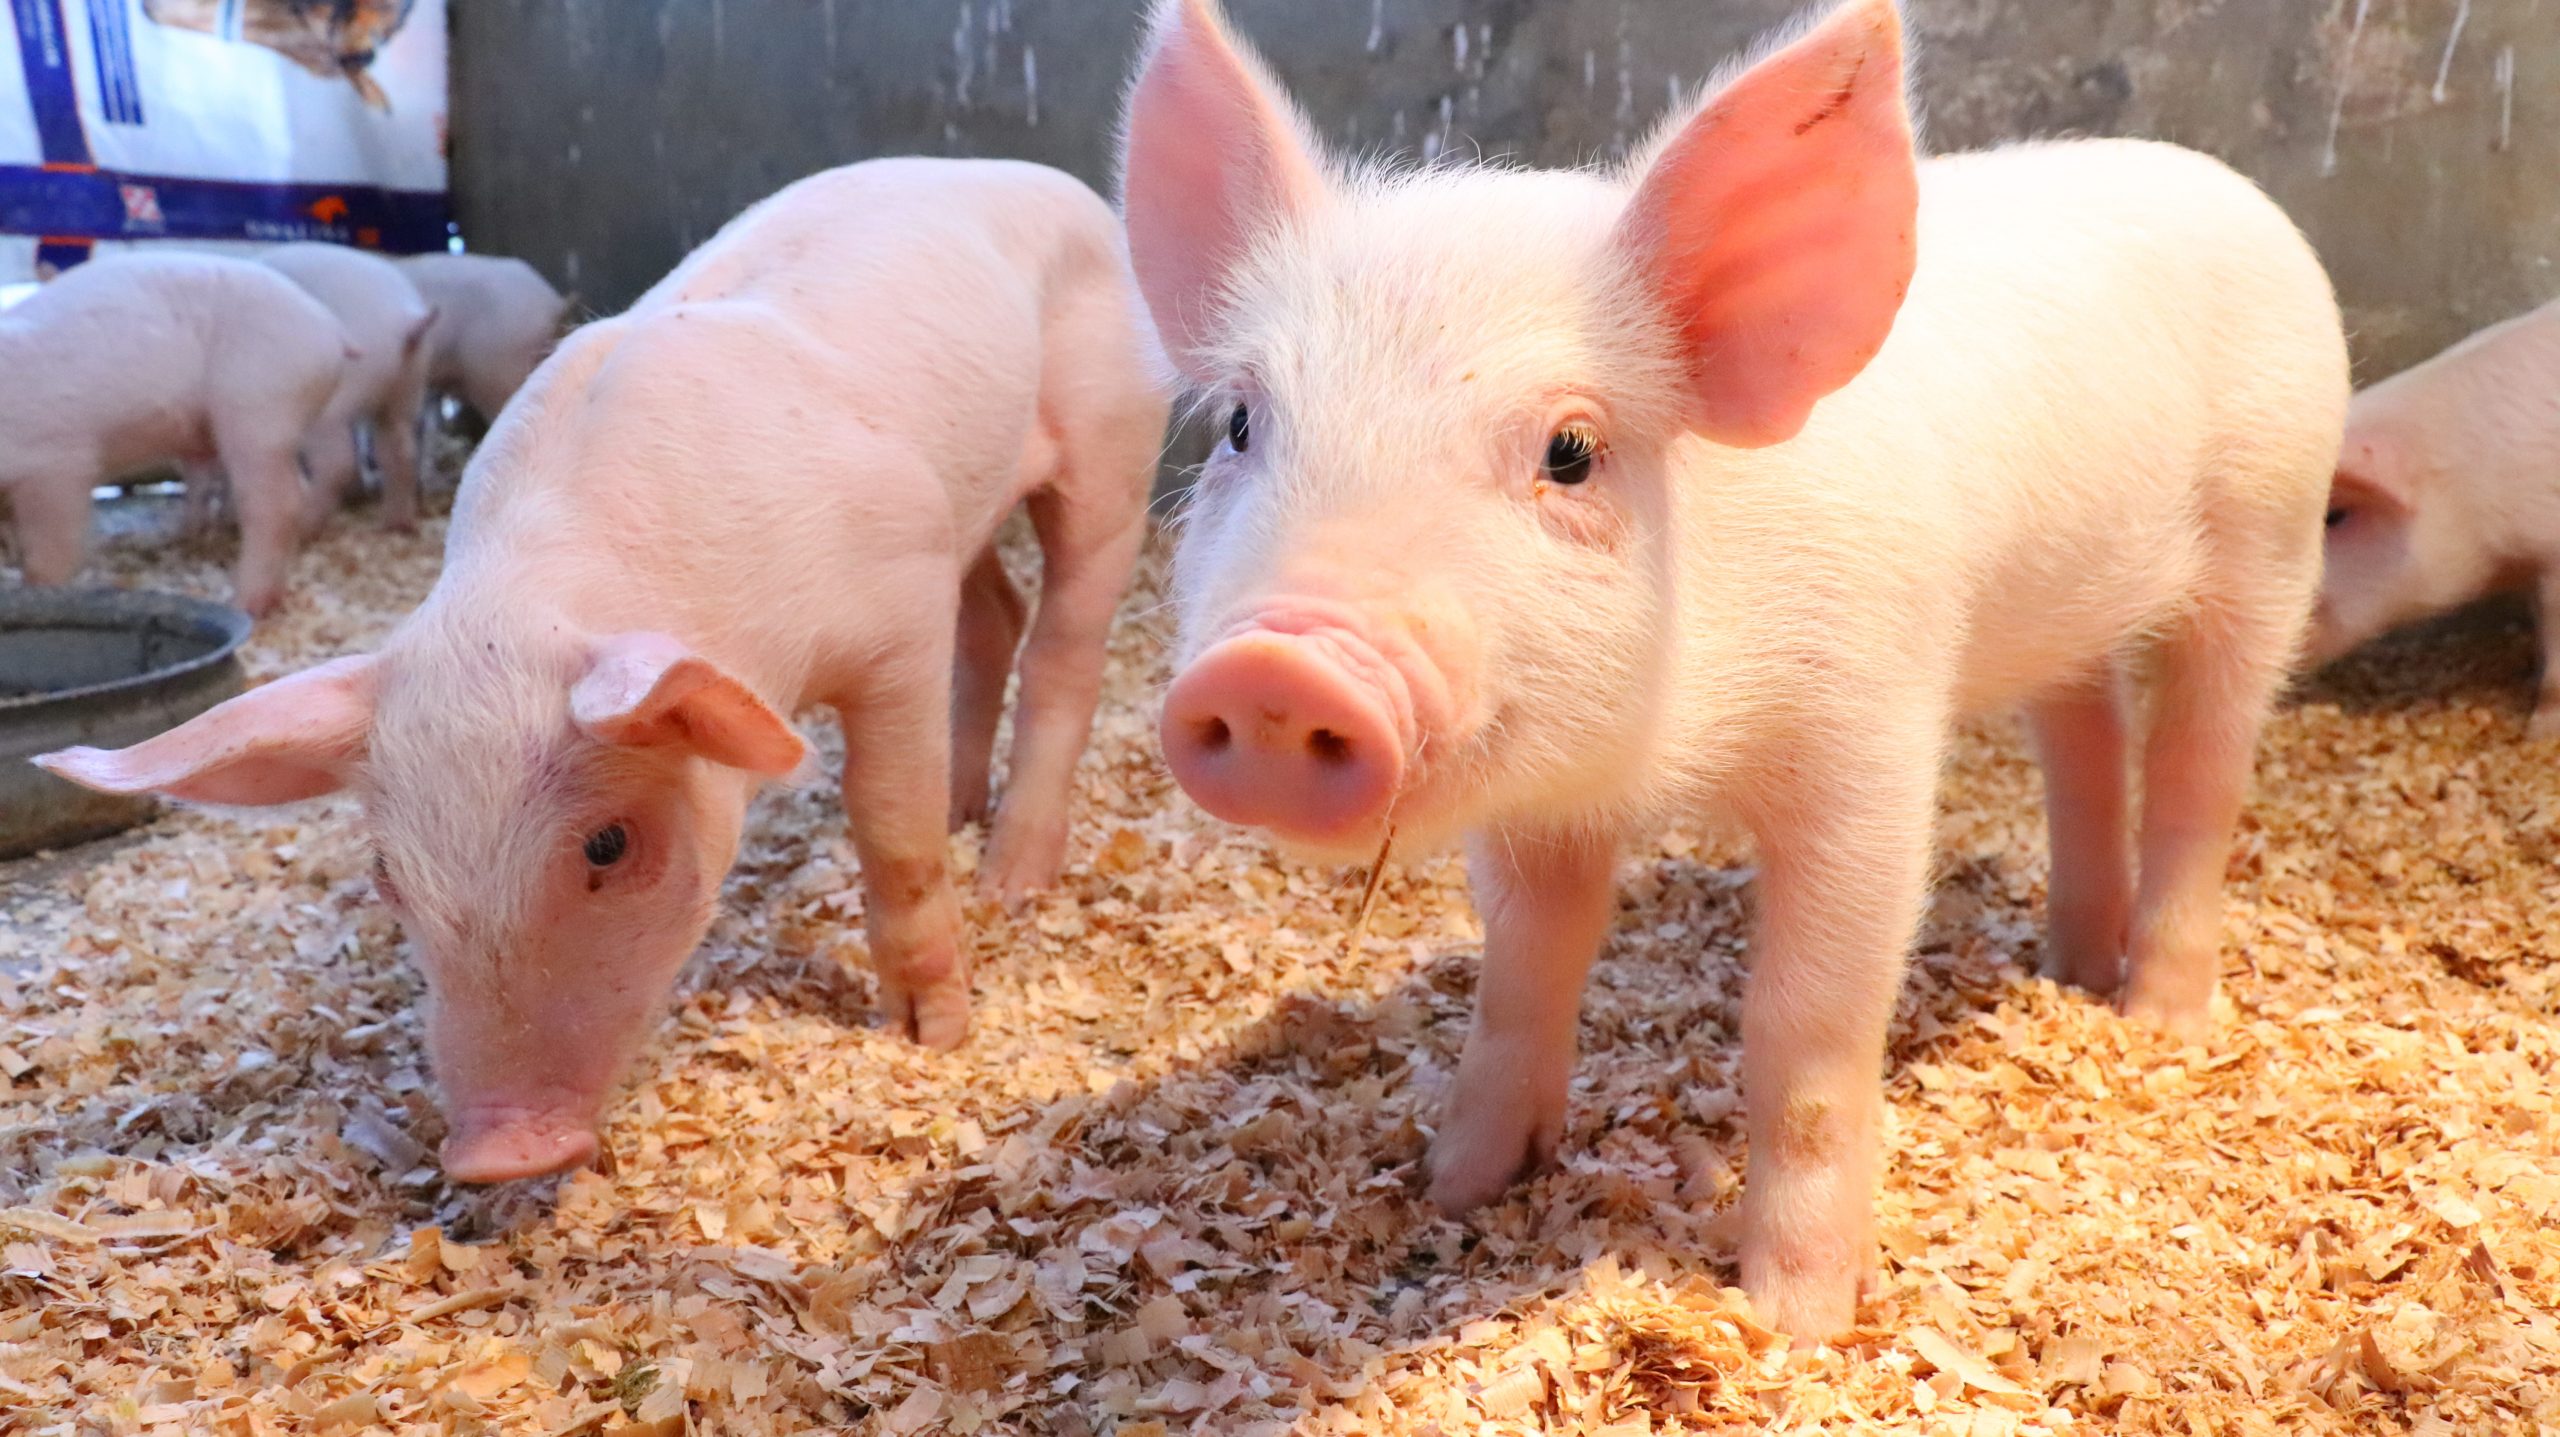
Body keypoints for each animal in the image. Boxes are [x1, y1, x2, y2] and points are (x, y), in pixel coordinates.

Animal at [0, 252, 348, 616]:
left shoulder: (55, 463)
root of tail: (333, 330)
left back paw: (244, 603)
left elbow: (50, 547)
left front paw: (37, 588)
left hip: (260, 407)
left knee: (278, 503)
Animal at [260, 242, 436, 533]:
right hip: (407, 390)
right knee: (399, 451)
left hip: (336, 401)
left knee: (338, 461)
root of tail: (406, 318)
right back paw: (397, 525)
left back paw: (307, 525)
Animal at [1123, 0, 2346, 1337]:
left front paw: (1796, 1324)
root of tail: (2217, 179)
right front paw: (1456, 1189)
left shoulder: (1869, 742)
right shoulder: (1539, 804)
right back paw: (2066, 969)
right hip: (2068, 613)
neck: (1672, 759)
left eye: (1571, 450)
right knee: (2086, 738)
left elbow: (1802, 1031)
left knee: (2197, 772)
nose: (1279, 669)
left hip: (2273, 528)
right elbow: (1524, 974)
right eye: (1242, 424)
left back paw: (2157, 1022)